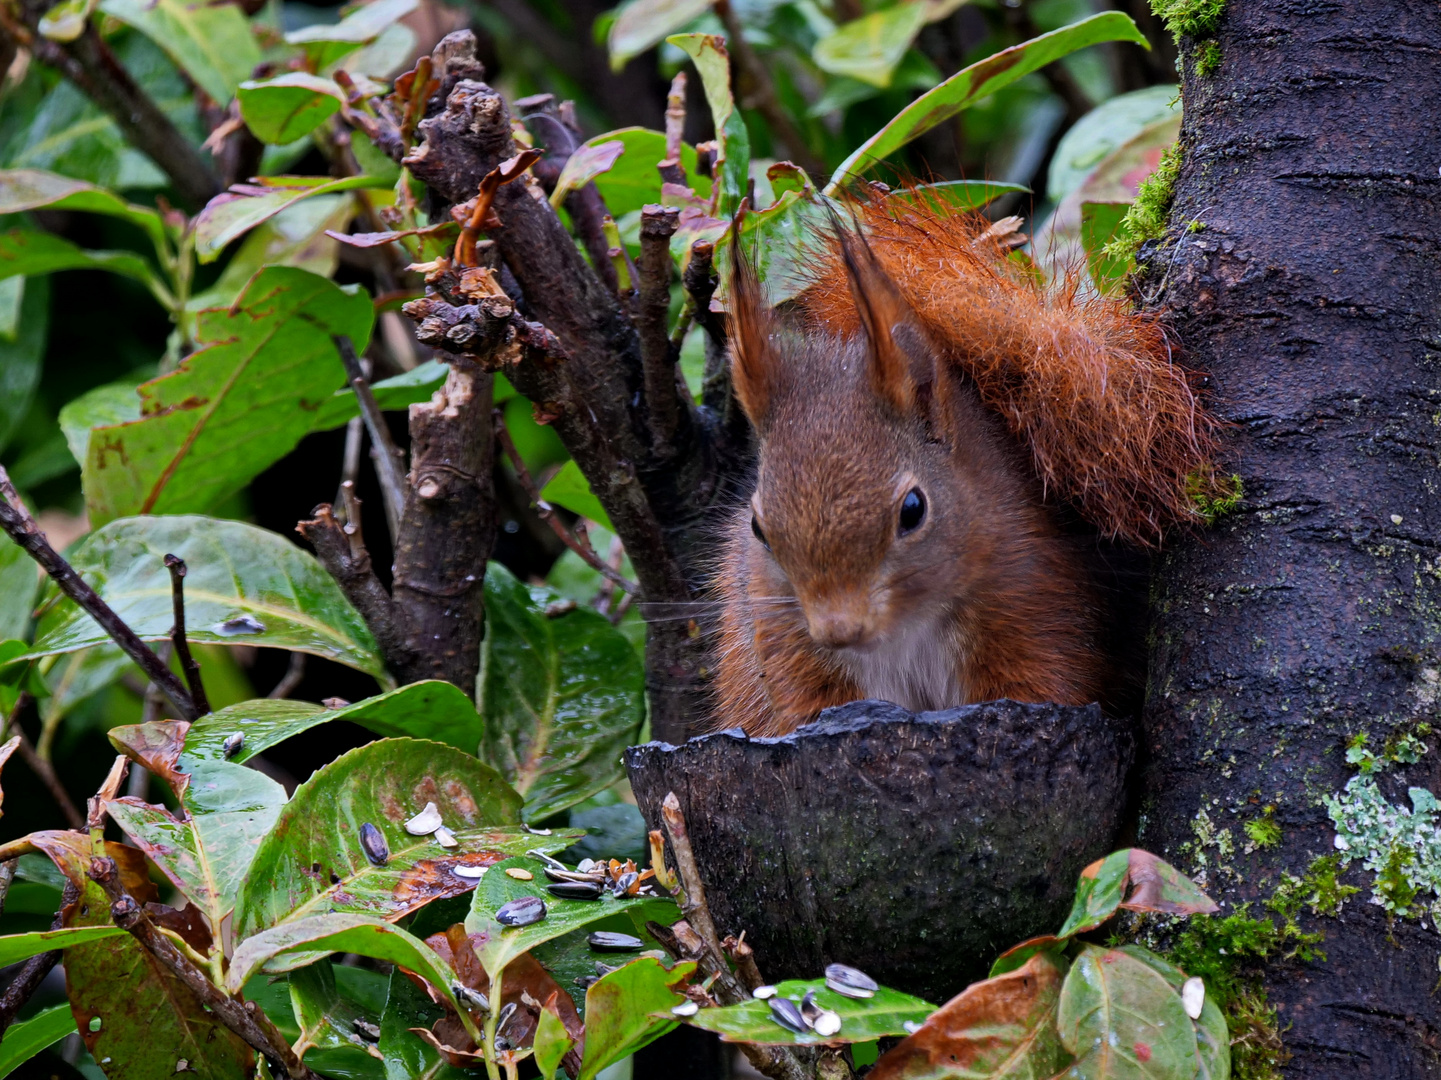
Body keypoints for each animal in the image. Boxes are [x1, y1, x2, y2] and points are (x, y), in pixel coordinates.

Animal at [708, 191, 1216, 732]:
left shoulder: (1037, 600)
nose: (839, 630)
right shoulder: (786, 646)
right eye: (757, 528)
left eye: (913, 510)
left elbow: (1045, 684)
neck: (906, 630)